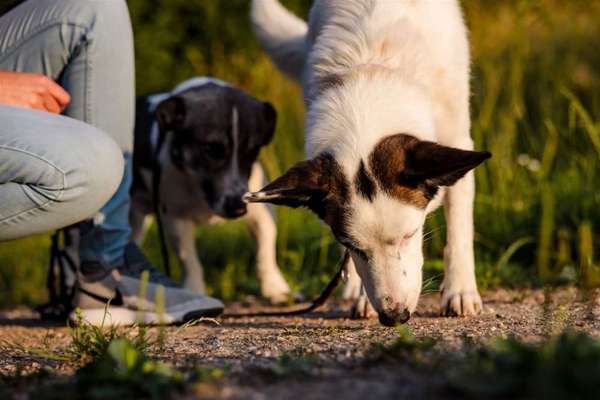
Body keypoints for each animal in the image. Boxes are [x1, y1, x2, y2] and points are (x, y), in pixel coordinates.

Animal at [131, 78, 292, 304]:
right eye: (211, 149)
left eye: (252, 150)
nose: (238, 209)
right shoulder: (175, 217)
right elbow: (189, 259)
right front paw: (194, 290)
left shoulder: (262, 211)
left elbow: (265, 250)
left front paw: (275, 289)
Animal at [246, 0, 490, 324]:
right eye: (353, 245)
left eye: (410, 235)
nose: (394, 316)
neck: (371, 69)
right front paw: (361, 295)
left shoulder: (457, 138)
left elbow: (459, 230)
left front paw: (460, 290)